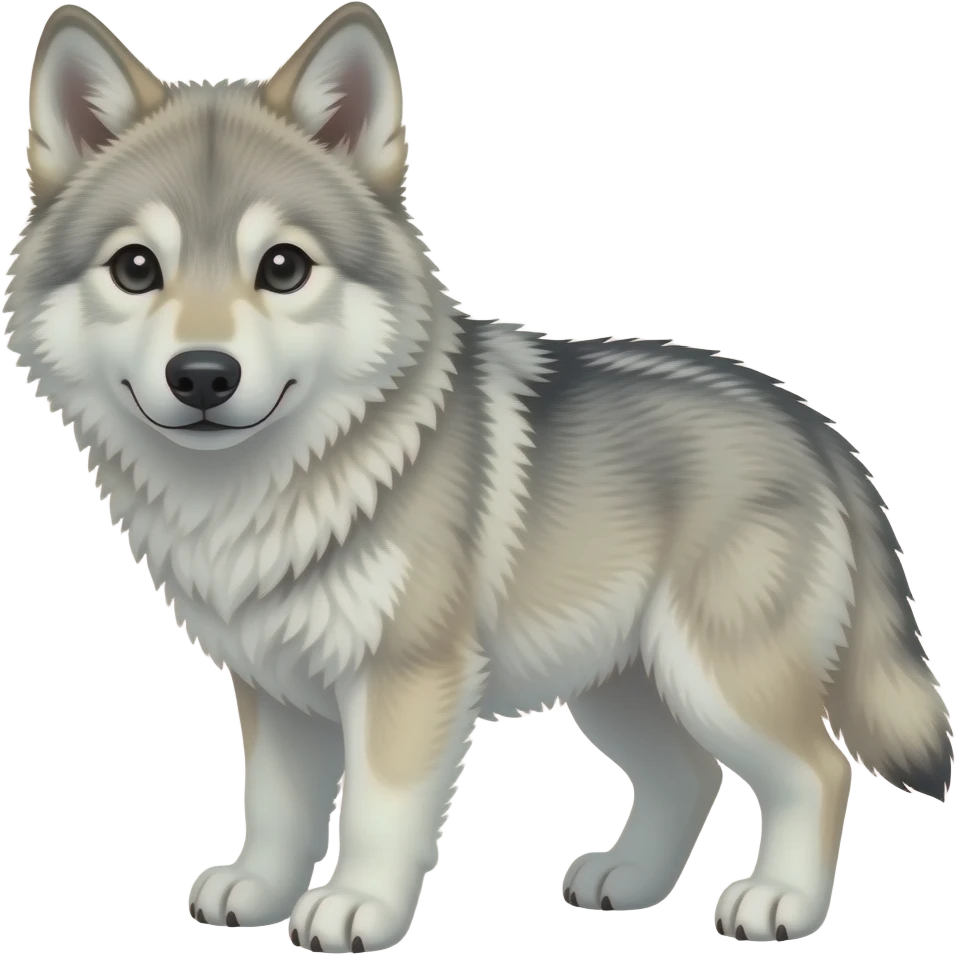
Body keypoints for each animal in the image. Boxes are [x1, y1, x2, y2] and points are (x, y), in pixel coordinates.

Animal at [4, 1, 951, 950]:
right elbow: (274, 809)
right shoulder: (277, 689)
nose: (203, 376)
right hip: (622, 686)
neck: (263, 490)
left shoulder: (407, 678)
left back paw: (778, 899)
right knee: (692, 775)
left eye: (283, 267)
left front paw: (356, 908)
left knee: (820, 768)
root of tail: (808, 421)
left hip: (717, 677)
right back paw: (630, 881)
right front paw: (260, 891)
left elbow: (378, 812)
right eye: (136, 268)